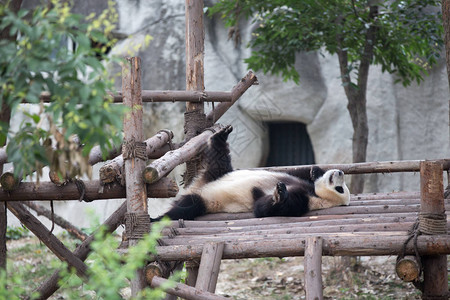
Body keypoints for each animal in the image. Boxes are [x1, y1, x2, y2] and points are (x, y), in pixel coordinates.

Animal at [153, 124, 350, 220]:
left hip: (206, 200)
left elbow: (263, 208)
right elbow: (307, 174)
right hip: (216, 173)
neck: (315, 193)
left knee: (185, 208)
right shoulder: (304, 184)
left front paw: (280, 194)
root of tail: (196, 187)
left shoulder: (307, 202)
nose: (340, 172)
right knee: (219, 159)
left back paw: (158, 219)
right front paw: (315, 171)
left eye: (340, 189)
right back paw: (221, 135)